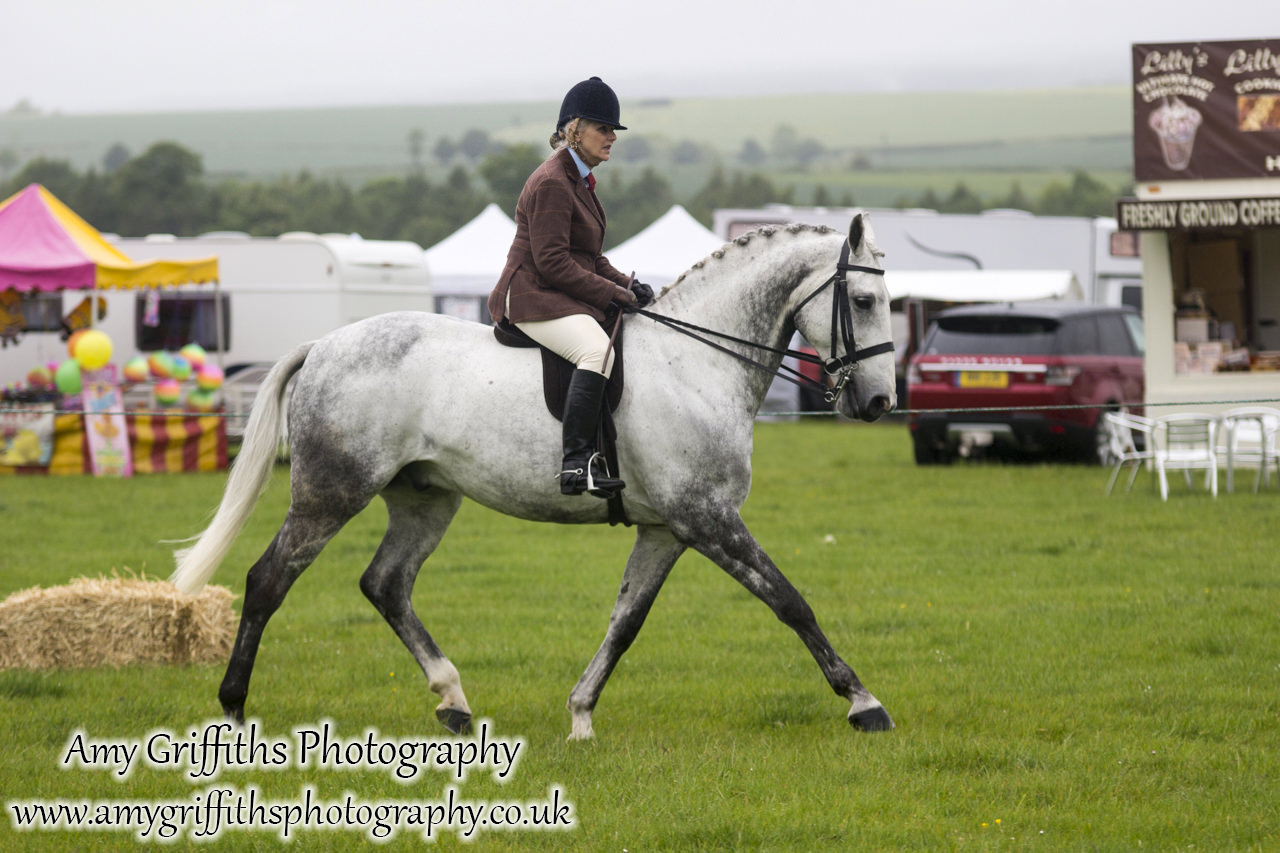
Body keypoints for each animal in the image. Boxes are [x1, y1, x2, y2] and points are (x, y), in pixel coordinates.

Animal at [170, 211, 901, 737]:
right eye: (865, 300)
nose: (878, 403)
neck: (695, 360)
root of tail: (323, 344)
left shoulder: (668, 528)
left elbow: (626, 621)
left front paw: (580, 714)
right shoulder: (708, 519)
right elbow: (790, 601)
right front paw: (863, 702)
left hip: (425, 498)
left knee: (385, 584)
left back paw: (454, 701)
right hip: (331, 493)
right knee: (268, 580)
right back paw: (233, 707)